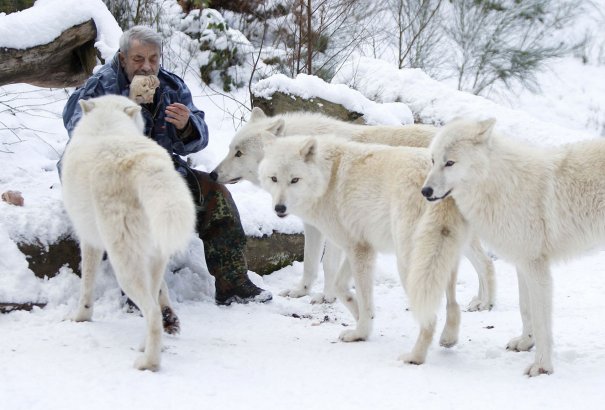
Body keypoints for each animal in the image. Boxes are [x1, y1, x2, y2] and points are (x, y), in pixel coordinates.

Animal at [60, 94, 195, 370]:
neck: (107, 124)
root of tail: (144, 164)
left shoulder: (89, 241)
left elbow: (86, 285)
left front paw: (80, 317)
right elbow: (163, 290)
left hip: (123, 265)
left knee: (151, 313)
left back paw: (148, 362)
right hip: (152, 258)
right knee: (154, 303)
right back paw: (149, 344)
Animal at [212, 107, 496, 310]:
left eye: (239, 153)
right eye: (230, 149)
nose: (212, 174)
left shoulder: (337, 227)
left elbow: (328, 265)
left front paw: (326, 297)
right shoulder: (314, 226)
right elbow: (310, 264)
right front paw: (301, 292)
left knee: (486, 264)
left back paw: (485, 303)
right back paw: (480, 300)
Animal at [258, 136, 478, 364]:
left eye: (295, 180)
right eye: (274, 178)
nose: (279, 208)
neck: (328, 178)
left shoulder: (359, 251)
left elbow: (362, 298)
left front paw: (360, 332)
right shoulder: (359, 246)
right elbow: (340, 287)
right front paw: (363, 318)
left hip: (409, 265)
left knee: (429, 317)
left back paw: (415, 357)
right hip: (443, 258)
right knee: (453, 304)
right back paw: (448, 338)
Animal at [420, 117, 605, 376]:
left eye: (450, 163)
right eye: (433, 160)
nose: (425, 191)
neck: (500, 185)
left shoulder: (536, 268)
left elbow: (541, 321)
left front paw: (542, 367)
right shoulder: (522, 263)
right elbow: (525, 309)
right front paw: (526, 342)